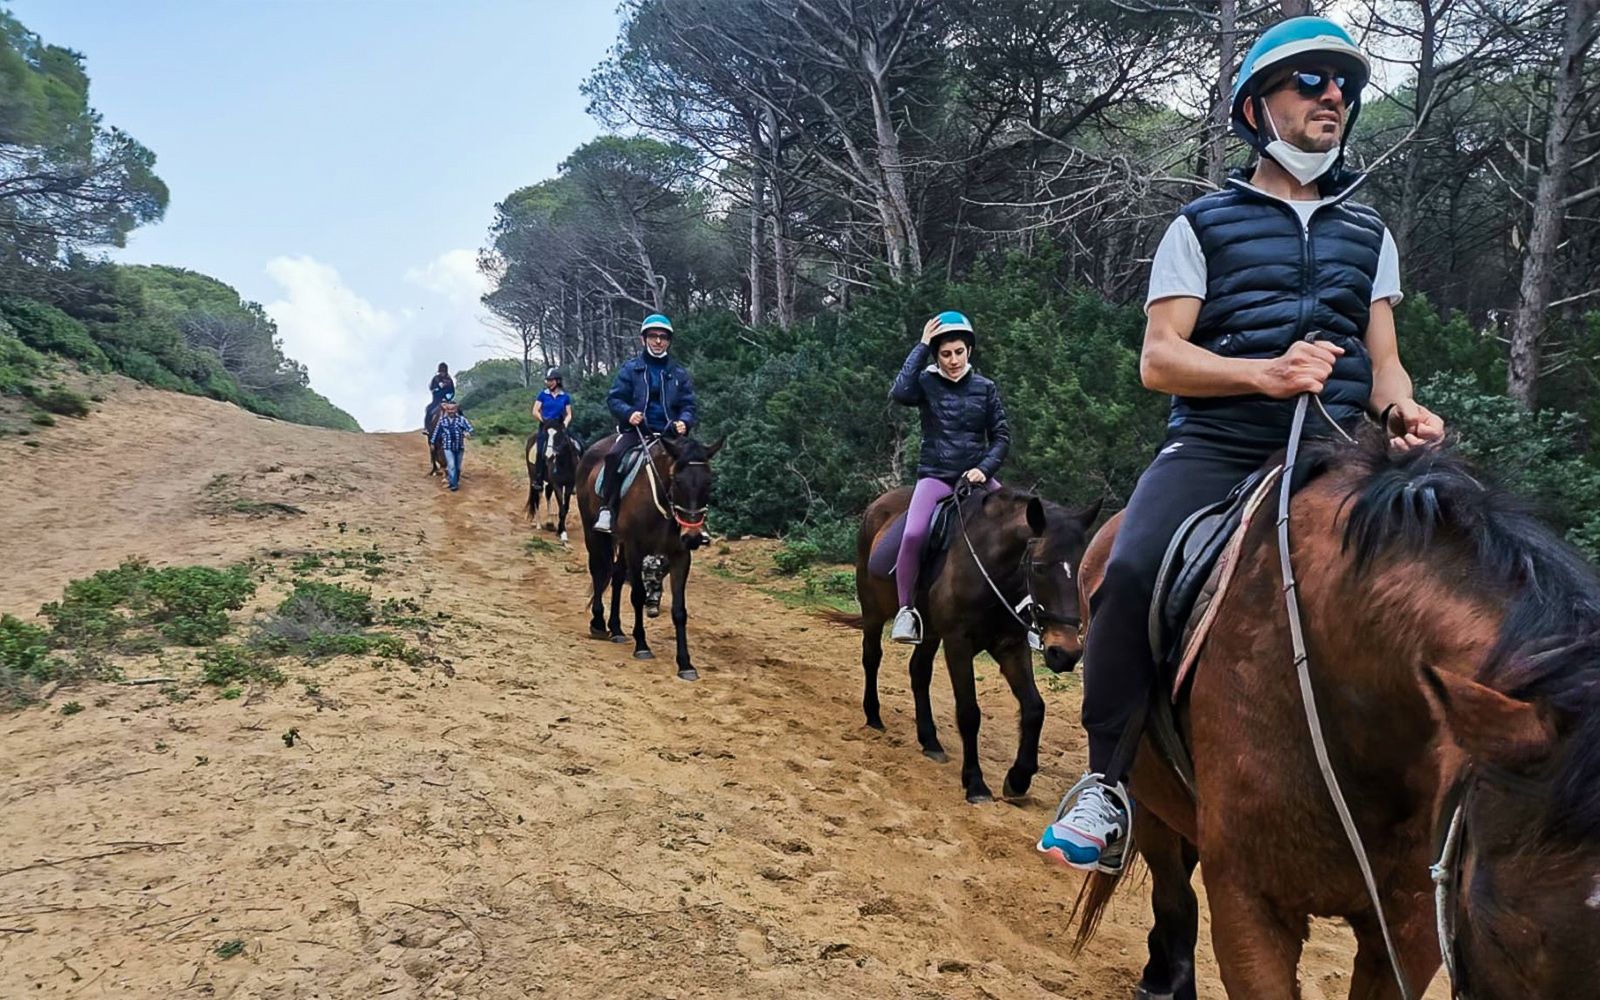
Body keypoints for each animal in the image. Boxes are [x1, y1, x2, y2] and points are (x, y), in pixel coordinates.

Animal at [825, 486, 1100, 803]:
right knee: (872, 658)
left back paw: (930, 741)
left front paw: (1018, 779)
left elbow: (1034, 708)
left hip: (930, 632)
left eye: (1083, 570)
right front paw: (976, 784)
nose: (1065, 653)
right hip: (873, 611)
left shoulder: (1010, 646)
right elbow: (969, 712)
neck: (990, 570)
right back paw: (873, 717)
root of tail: (878, 505)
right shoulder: (958, 643)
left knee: (918, 672)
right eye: (1039, 567)